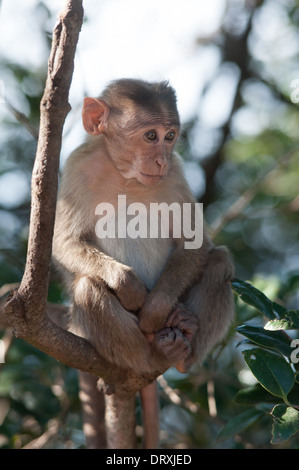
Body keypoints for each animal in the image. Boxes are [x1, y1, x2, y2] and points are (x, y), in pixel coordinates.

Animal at [52, 78, 236, 448]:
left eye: (170, 136)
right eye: (150, 136)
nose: (161, 160)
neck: (126, 176)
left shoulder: (176, 175)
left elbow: (195, 245)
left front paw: (154, 308)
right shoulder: (78, 167)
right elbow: (65, 243)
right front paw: (131, 289)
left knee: (219, 260)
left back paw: (183, 345)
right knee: (87, 286)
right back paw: (153, 355)